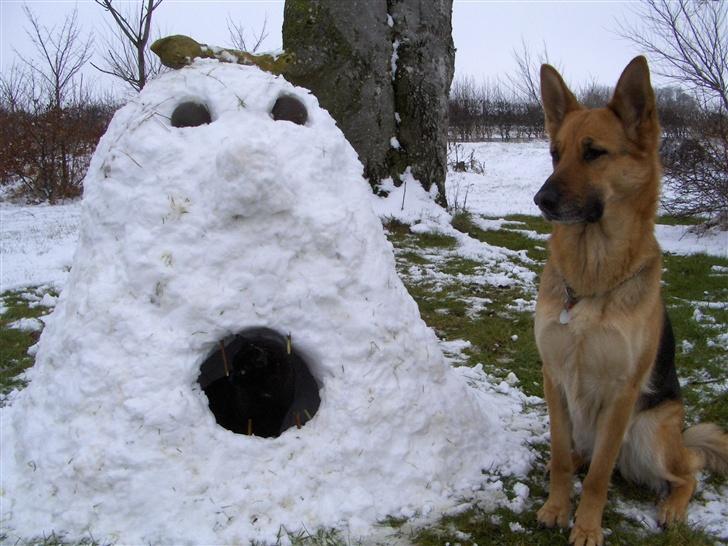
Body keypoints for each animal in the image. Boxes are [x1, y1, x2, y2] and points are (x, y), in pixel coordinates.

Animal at [532, 56, 724, 544]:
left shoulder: (621, 395)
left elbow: (599, 477)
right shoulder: (554, 378)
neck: (592, 277)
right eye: (555, 154)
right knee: (577, 456)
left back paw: (672, 508)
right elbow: (561, 458)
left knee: (687, 473)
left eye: (594, 153)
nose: (541, 200)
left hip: (648, 435)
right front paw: (556, 508)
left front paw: (586, 527)